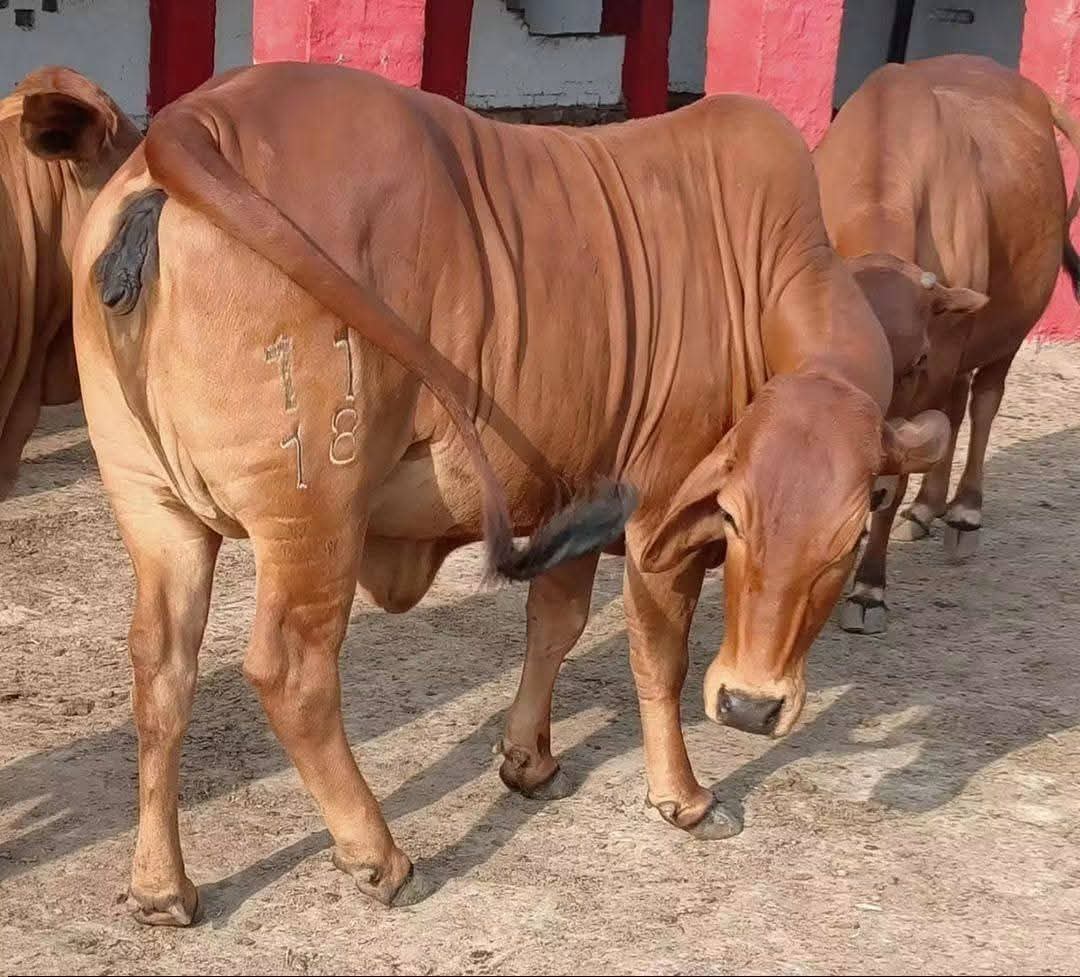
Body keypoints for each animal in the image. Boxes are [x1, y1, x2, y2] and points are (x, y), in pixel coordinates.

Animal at [71, 63, 947, 920]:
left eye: (848, 537)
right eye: (733, 518)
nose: (750, 707)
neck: (763, 279)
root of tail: (204, 116)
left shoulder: (578, 492)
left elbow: (554, 626)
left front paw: (530, 759)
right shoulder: (659, 517)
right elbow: (658, 658)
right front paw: (684, 796)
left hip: (154, 508)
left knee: (162, 665)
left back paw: (161, 886)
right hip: (314, 514)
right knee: (291, 670)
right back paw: (378, 853)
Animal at [814, 55, 1080, 634]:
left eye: (914, 358)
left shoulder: (933, 370)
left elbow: (893, 481)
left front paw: (868, 588)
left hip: (1007, 333)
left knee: (982, 405)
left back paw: (961, 511)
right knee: (957, 410)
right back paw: (927, 506)